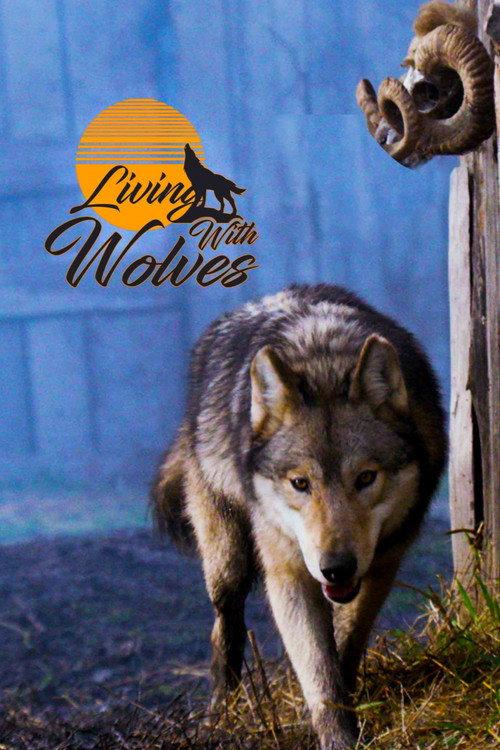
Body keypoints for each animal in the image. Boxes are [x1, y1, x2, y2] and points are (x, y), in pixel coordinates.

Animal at [153, 283, 447, 749]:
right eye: (300, 483)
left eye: (366, 477)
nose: (336, 567)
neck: (324, 361)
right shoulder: (287, 572)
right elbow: (317, 670)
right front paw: (338, 736)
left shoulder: (384, 561)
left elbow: (345, 642)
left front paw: (350, 694)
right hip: (227, 564)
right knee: (225, 627)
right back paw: (221, 714)